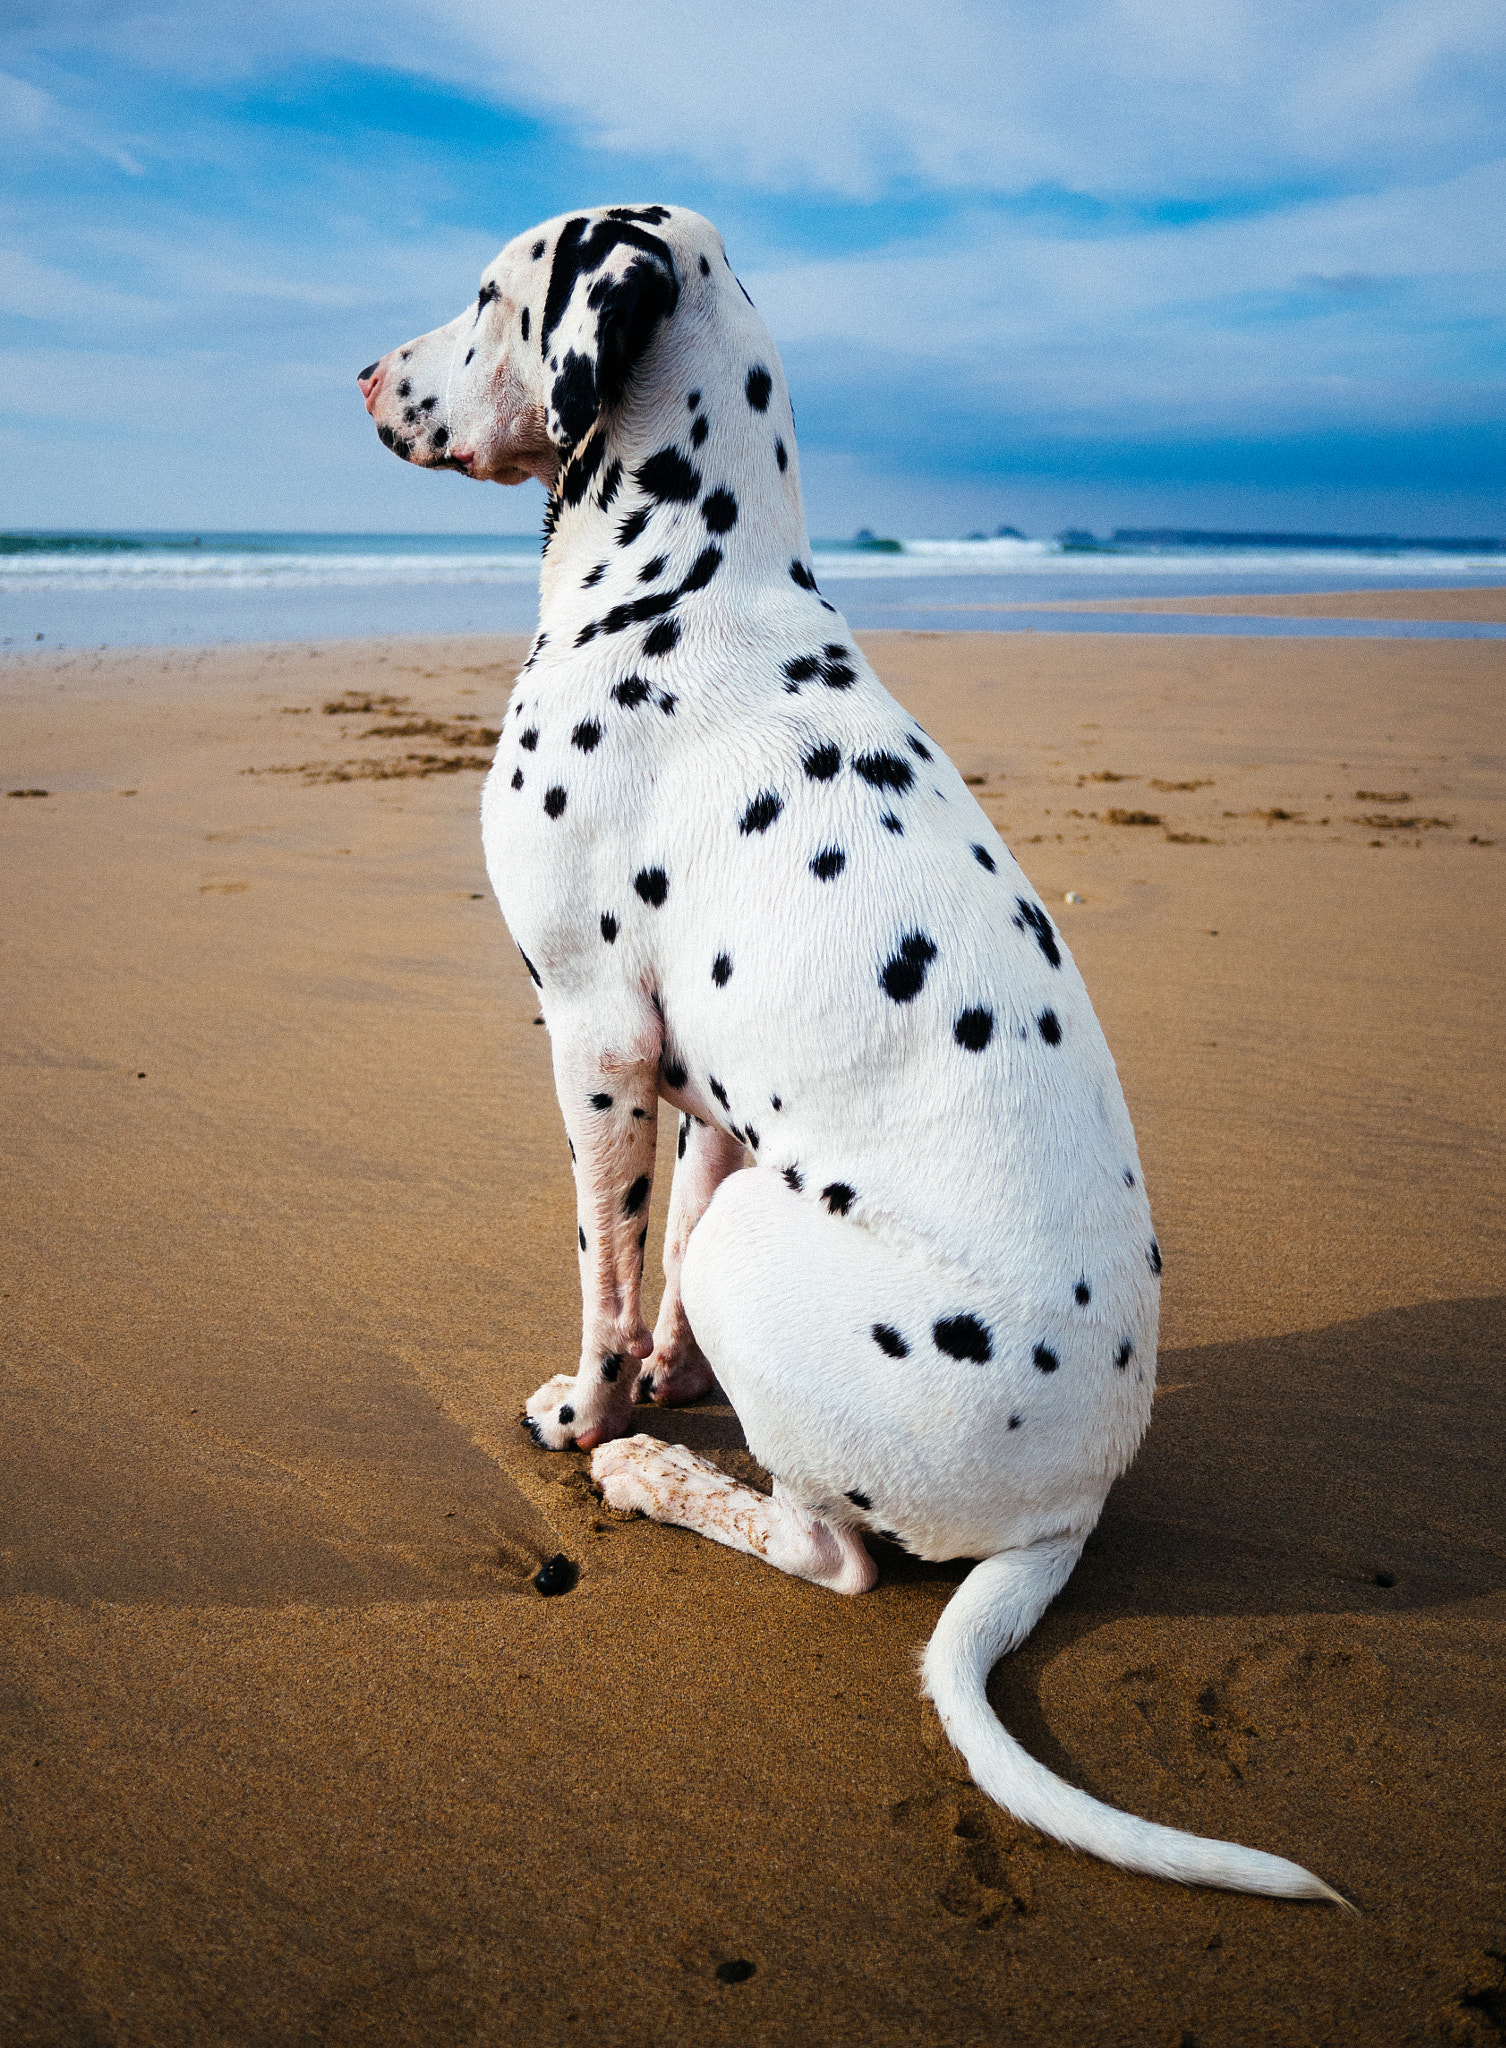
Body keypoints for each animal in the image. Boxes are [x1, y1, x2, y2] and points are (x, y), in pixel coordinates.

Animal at [358, 207, 1352, 1900]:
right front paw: (674, 1383)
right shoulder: (705, 1093)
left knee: (833, 1556)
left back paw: (662, 1483)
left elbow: (605, 1277)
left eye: (489, 295)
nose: (362, 373)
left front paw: (596, 1415)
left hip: (766, 1255)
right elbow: (661, 1271)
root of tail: (1067, 1511)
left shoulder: (593, 1040)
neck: (686, 577)